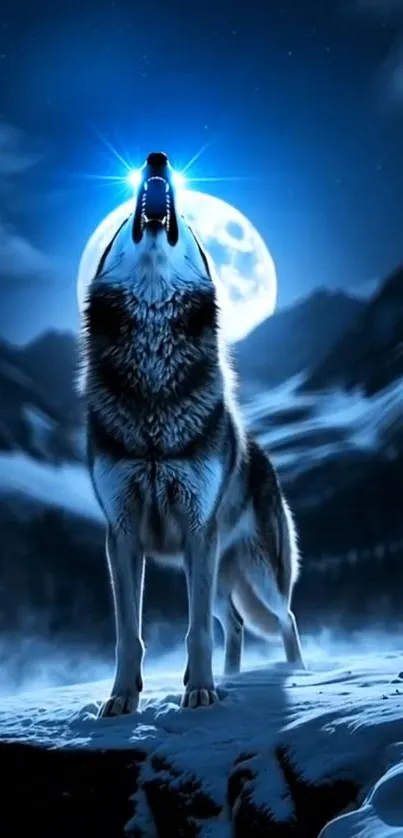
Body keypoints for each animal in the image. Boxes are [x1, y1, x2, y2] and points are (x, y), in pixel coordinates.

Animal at [78, 151, 304, 717]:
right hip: (221, 577)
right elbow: (128, 633)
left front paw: (200, 692)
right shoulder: (122, 535)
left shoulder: (199, 530)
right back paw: (234, 677)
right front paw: (121, 699)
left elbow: (195, 629)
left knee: (283, 618)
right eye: (124, 222)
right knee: (238, 625)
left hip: (252, 572)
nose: (157, 157)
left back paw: (293, 674)